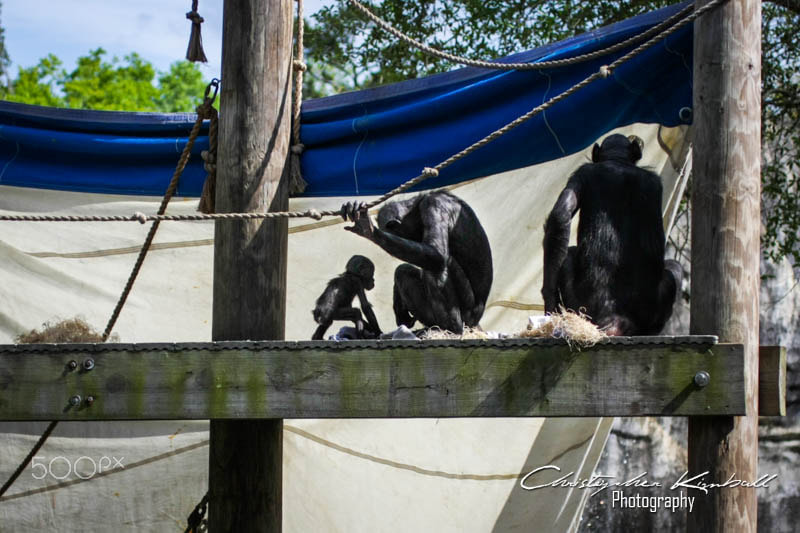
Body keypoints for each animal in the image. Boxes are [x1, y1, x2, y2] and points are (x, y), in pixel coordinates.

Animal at [340, 190, 490, 332]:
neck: (416, 208)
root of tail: (475, 322)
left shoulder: (433, 206)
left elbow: (436, 253)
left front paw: (369, 229)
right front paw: (400, 311)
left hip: (466, 312)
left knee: (432, 267)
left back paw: (451, 327)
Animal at [540, 133, 680, 334]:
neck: (617, 161)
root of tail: (613, 321)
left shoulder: (582, 171)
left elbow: (560, 215)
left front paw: (549, 301)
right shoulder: (654, 183)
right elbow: (562, 214)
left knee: (568, 254)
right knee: (673, 271)